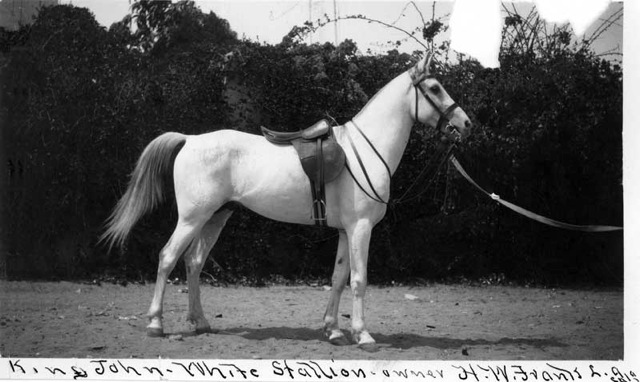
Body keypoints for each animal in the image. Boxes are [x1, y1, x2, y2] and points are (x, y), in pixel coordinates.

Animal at [100, 53, 470, 346]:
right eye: (434, 88)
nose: (465, 123)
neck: (364, 151)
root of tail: (190, 139)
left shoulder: (345, 231)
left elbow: (338, 278)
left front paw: (333, 330)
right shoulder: (361, 228)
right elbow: (359, 280)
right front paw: (362, 334)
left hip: (216, 217)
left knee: (193, 262)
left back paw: (200, 322)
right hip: (192, 218)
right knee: (167, 258)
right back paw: (155, 323)